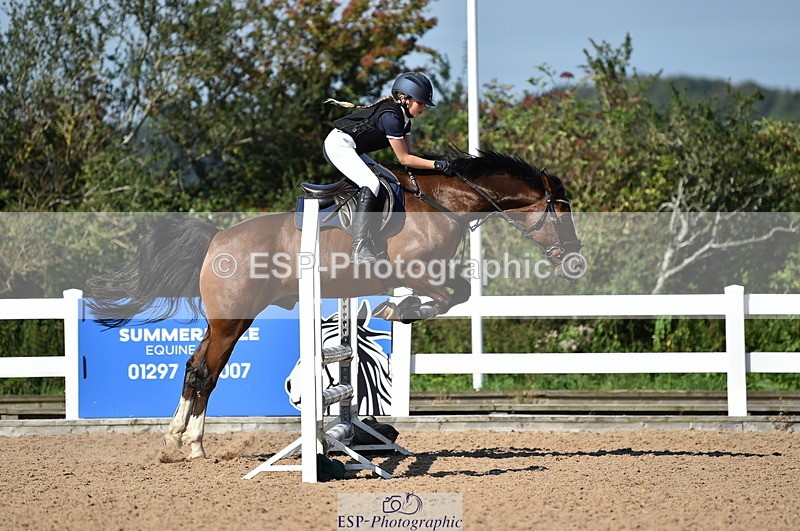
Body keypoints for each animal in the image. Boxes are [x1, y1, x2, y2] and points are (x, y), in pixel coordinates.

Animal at [86, 149, 584, 459]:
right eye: (562, 212)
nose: (575, 261)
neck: (445, 202)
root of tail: (217, 239)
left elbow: (455, 294)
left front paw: (398, 310)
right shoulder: (416, 270)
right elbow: (450, 295)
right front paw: (398, 311)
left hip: (222, 321)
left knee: (193, 368)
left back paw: (177, 442)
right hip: (233, 321)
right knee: (207, 372)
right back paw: (192, 445)